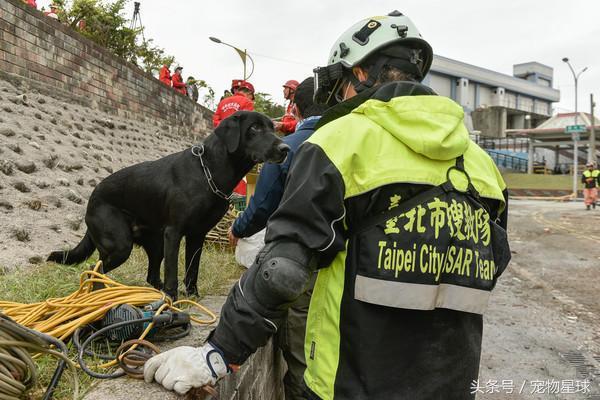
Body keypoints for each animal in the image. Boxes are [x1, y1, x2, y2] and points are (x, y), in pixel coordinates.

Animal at [49, 111, 288, 298]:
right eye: (254, 127)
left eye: (272, 127)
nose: (286, 148)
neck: (208, 172)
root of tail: (92, 198)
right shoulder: (174, 233)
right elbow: (173, 272)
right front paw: (173, 298)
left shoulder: (197, 235)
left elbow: (192, 270)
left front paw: (192, 297)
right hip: (121, 244)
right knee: (94, 269)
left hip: (154, 244)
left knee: (148, 274)